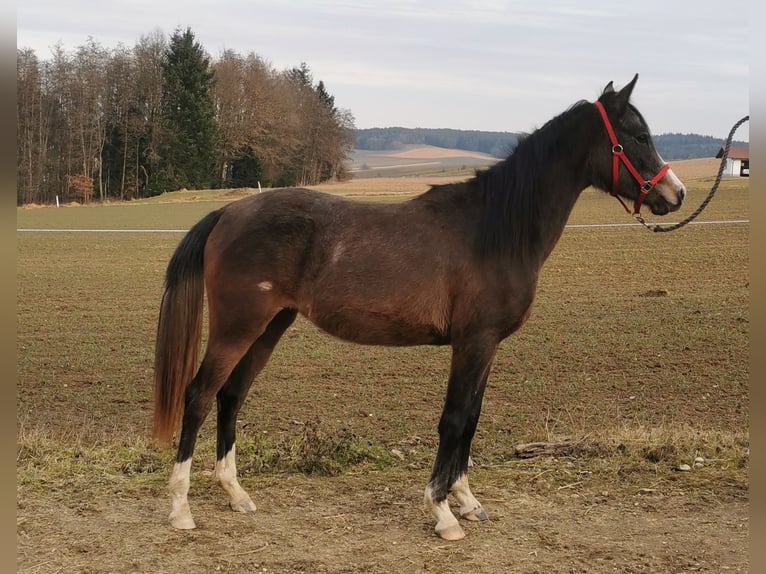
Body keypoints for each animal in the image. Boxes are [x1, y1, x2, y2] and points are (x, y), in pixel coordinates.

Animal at [153, 74, 688, 544]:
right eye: (638, 136)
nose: (676, 193)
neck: (493, 228)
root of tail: (229, 211)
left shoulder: (487, 345)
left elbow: (472, 417)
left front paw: (467, 500)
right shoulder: (473, 342)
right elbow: (453, 419)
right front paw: (442, 512)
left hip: (269, 326)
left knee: (231, 395)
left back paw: (235, 493)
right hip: (238, 325)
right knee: (199, 395)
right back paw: (180, 508)